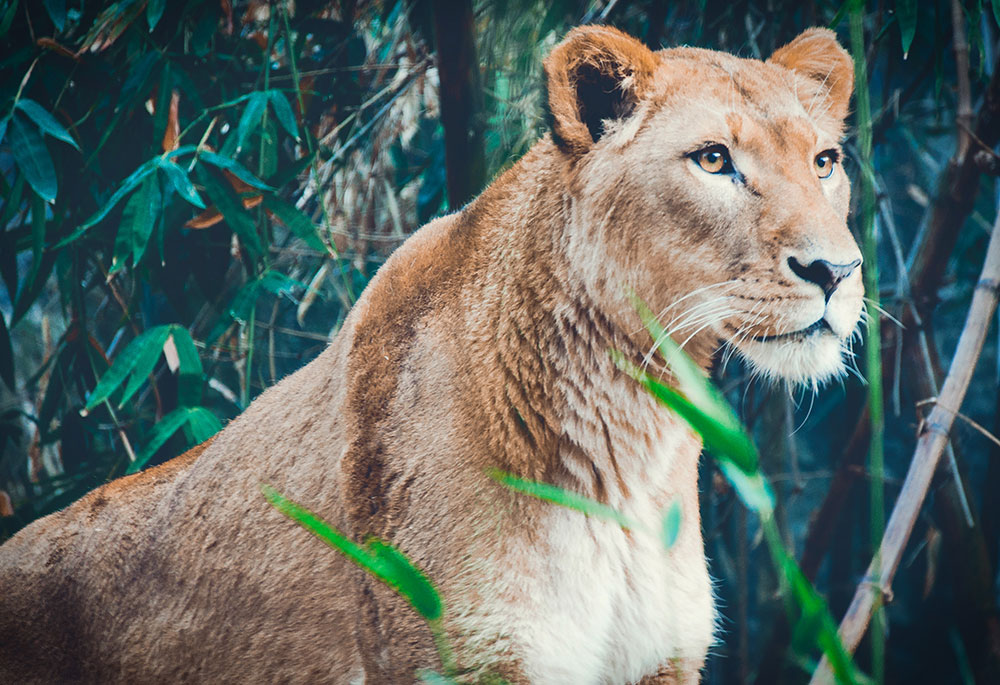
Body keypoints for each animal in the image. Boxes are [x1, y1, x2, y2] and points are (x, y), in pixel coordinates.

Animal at [0, 25, 862, 684]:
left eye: (824, 162)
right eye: (714, 160)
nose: (837, 270)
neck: (632, 430)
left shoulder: (661, 659)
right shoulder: (462, 654)